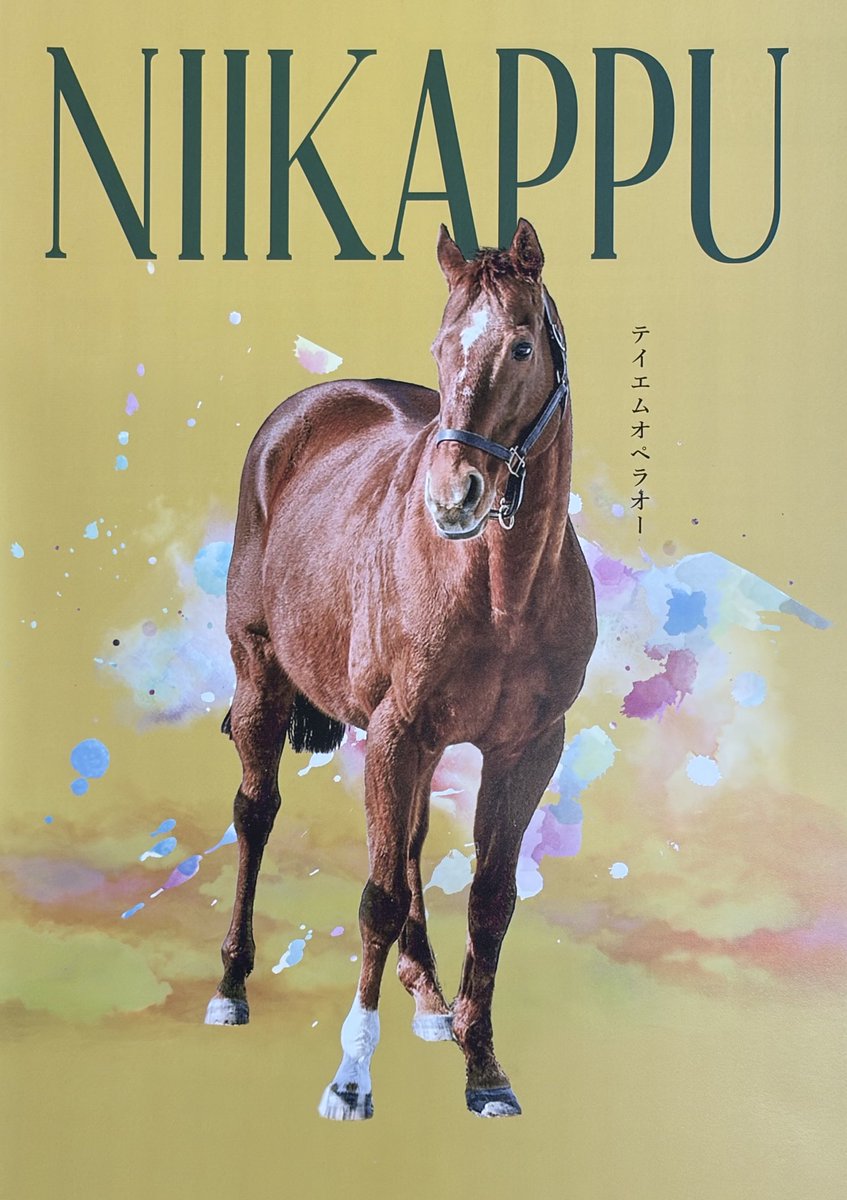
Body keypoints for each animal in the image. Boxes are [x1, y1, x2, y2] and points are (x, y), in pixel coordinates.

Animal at [204, 219, 597, 1120]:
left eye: (522, 345)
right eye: (441, 346)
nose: (452, 498)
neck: (501, 591)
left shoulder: (527, 748)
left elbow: (490, 900)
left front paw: (482, 1066)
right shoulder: (395, 732)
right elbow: (376, 897)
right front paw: (352, 1077)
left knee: (412, 843)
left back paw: (427, 1000)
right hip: (262, 679)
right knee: (255, 813)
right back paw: (232, 984)